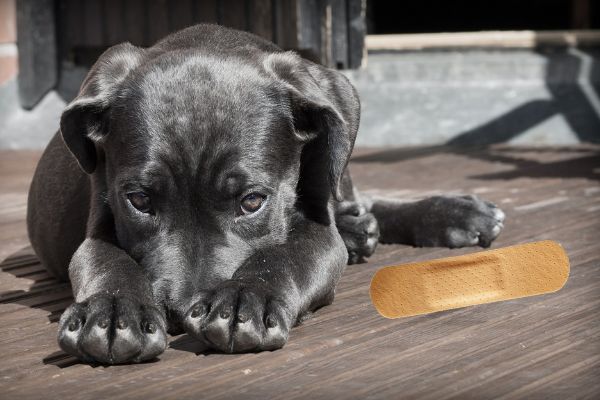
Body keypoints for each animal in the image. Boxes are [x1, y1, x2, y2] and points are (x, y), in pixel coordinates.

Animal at [27, 23, 506, 364]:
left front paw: (245, 299)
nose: (181, 313)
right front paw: (111, 311)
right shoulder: (99, 221)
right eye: (140, 201)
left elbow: (285, 254)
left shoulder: (318, 231)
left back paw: (452, 214)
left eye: (252, 201)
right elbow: (106, 260)